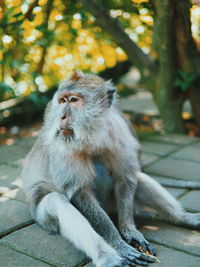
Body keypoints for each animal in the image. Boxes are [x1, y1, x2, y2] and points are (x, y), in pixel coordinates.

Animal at [21, 71, 200, 267]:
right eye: (62, 101)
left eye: (74, 100)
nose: (61, 117)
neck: (93, 137)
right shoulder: (62, 146)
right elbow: (78, 191)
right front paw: (118, 244)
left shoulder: (119, 132)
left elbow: (126, 179)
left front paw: (130, 231)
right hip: (42, 218)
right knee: (57, 200)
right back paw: (108, 258)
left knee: (138, 178)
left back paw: (182, 217)